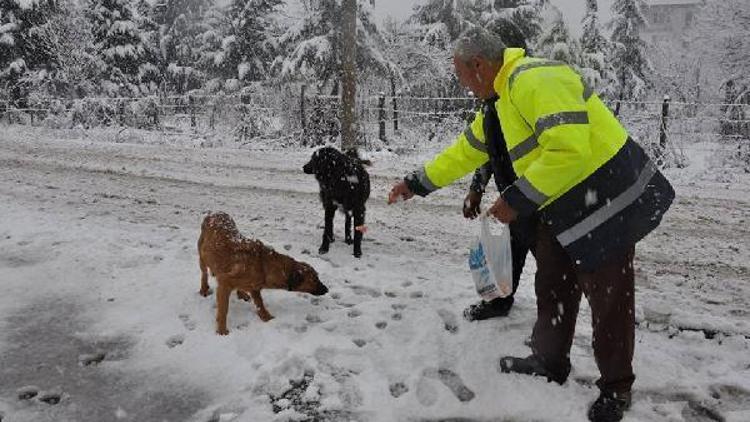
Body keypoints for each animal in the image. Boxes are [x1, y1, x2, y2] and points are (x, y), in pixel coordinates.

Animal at [198, 213, 328, 334]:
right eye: (315, 279)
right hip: (202, 257)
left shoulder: (254, 287)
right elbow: (223, 310)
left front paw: (266, 317)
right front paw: (221, 330)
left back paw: (241, 293)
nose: (326, 290)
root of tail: (215, 213)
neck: (264, 266)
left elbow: (260, 303)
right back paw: (204, 289)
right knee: (204, 274)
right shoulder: (224, 282)